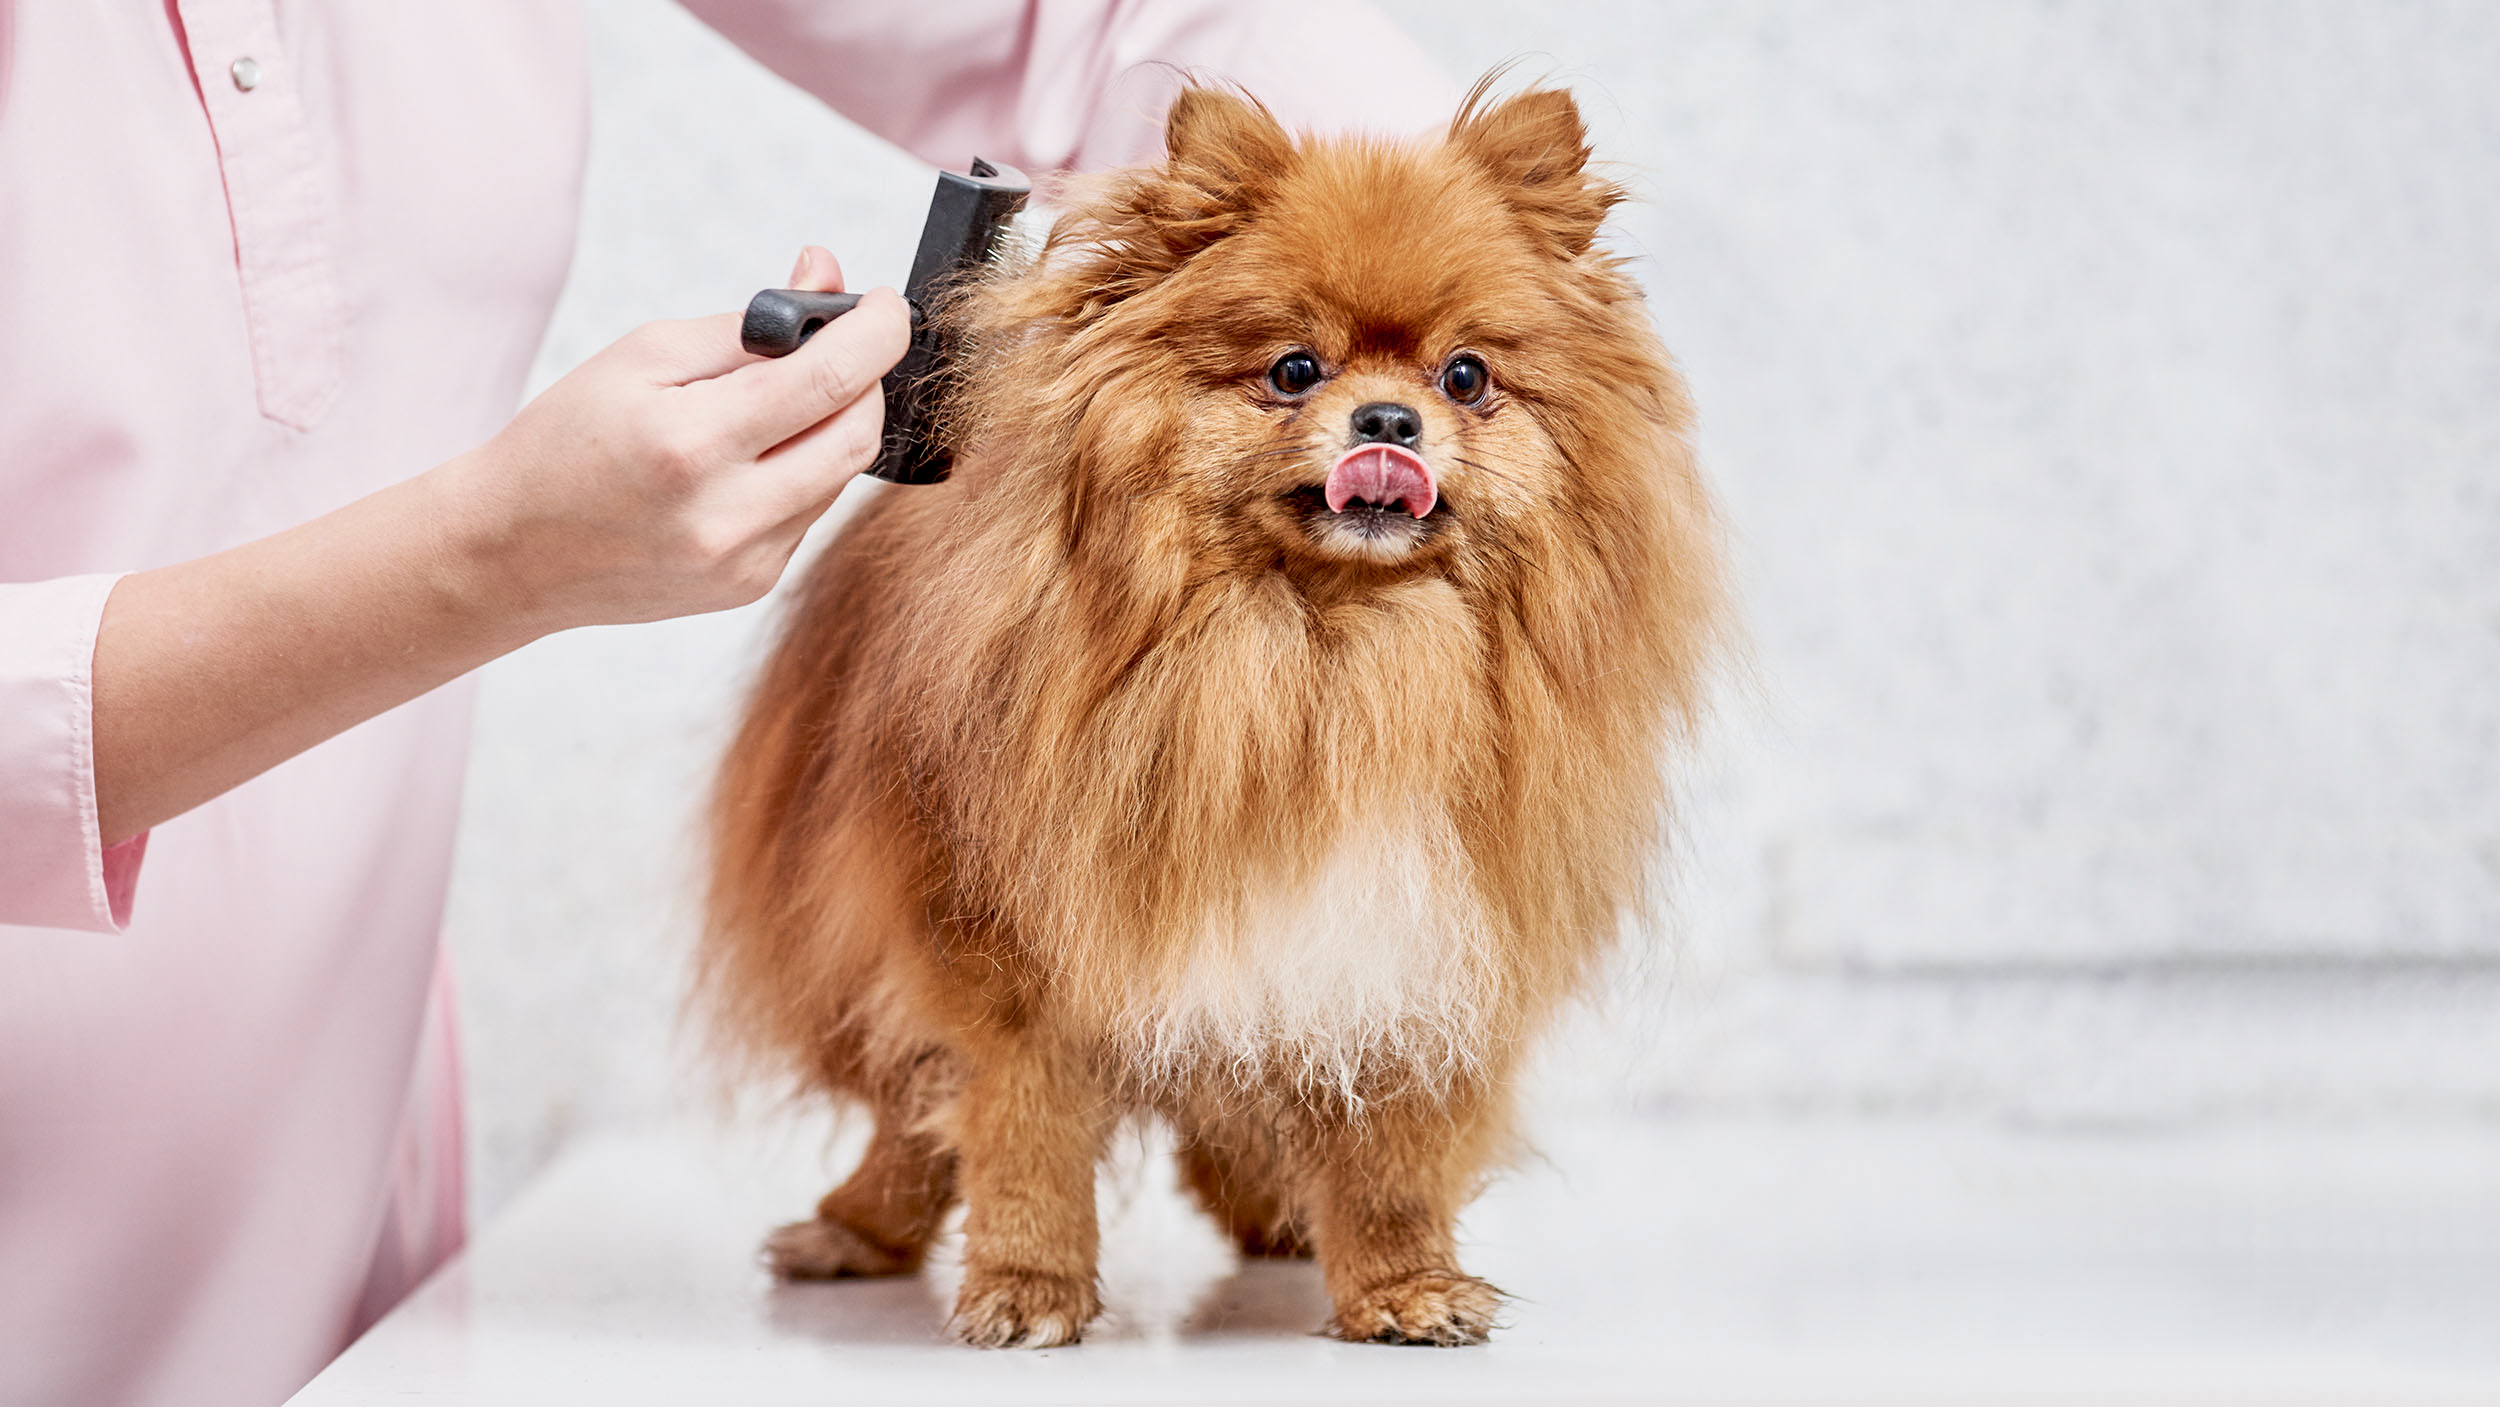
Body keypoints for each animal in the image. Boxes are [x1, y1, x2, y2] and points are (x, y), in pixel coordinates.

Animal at [695, 79, 1730, 1349]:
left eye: (1465, 378)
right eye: (1292, 370)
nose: (1387, 423)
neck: (1323, 659)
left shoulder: (1414, 952)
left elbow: (1391, 1156)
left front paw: (1399, 1284)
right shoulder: (1012, 956)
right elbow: (1022, 1132)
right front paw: (1027, 1285)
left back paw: (1276, 1214)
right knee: (911, 1114)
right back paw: (856, 1230)